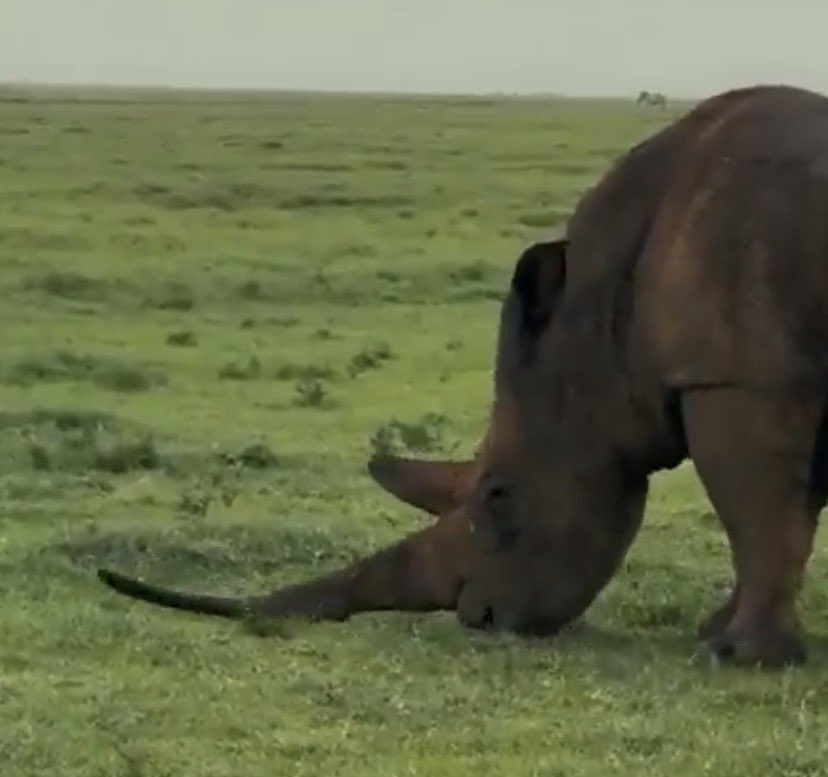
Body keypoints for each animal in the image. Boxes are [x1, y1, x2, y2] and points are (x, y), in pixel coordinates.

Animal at [99, 84, 828, 668]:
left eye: (498, 497)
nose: (480, 619)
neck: (593, 324)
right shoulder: (770, 377)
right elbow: (783, 518)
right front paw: (720, 633)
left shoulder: (736, 379)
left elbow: (759, 517)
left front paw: (737, 655)